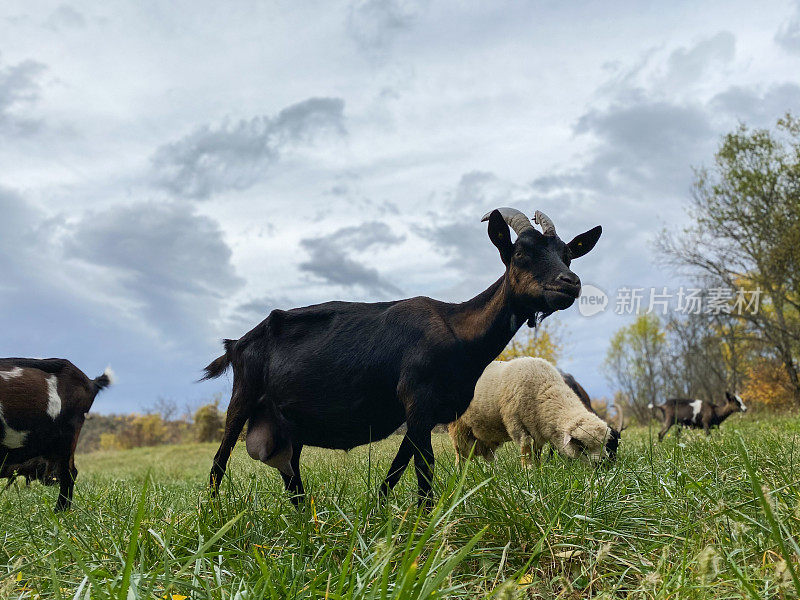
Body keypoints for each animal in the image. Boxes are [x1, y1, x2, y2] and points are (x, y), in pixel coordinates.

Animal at [446, 358, 608, 466]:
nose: (603, 463)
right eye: (583, 446)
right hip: (459, 428)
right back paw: (461, 474)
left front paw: (538, 471)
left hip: (485, 434)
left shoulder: (537, 431)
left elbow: (537, 454)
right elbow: (526, 450)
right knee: (460, 454)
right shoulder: (518, 426)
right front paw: (528, 472)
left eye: (604, 443)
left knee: (488, 456)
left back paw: (493, 475)